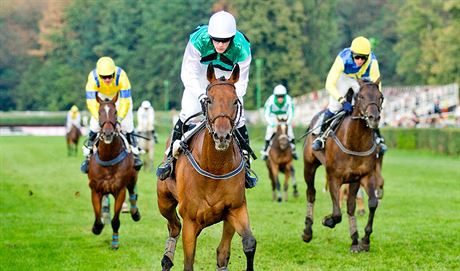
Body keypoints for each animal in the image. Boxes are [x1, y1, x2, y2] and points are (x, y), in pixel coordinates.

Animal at [87, 94, 141, 250]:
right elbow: (98, 217)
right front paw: (97, 227)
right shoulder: (96, 189)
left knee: (133, 193)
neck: (108, 157)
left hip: (132, 178)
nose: (108, 133)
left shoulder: (119, 190)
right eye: (99, 113)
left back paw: (135, 212)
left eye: (115, 112)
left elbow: (116, 220)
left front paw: (115, 242)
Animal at [157, 65, 258, 270]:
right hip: (164, 201)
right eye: (209, 100)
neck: (215, 168)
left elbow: (247, 244)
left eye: (235, 101)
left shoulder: (236, 208)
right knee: (174, 226)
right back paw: (166, 259)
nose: (222, 136)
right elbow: (188, 262)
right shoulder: (190, 220)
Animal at [302, 78, 384, 253]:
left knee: (350, 205)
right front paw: (328, 220)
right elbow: (337, 213)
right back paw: (307, 232)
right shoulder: (334, 177)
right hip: (309, 166)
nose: (373, 118)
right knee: (311, 193)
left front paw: (363, 241)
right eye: (361, 96)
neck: (355, 142)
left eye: (380, 97)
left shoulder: (363, 176)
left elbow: (370, 203)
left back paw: (354, 240)